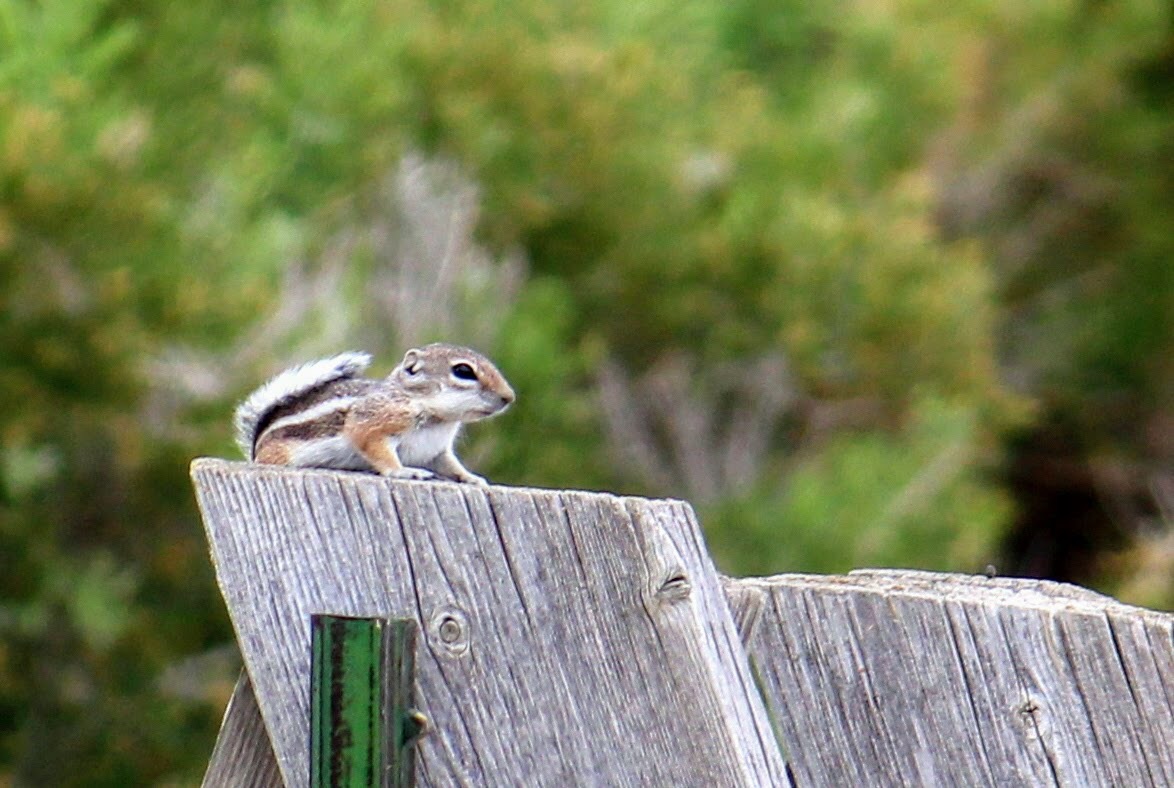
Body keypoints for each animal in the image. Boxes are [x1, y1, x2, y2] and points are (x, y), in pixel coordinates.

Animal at [233, 343, 515, 485]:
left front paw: (471, 477)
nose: (509, 397)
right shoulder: (373, 424)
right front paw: (403, 472)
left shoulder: (437, 451)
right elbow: (377, 450)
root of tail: (256, 450)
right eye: (463, 371)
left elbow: (451, 465)